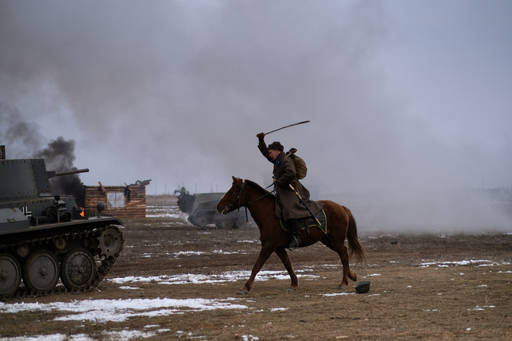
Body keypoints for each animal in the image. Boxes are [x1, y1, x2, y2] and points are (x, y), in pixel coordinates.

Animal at [216, 177, 364, 290]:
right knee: (343, 253)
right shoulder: (278, 248)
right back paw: (351, 276)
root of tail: (342, 208)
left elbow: (257, 265)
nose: (218, 206)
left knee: (343, 254)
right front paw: (294, 283)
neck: (268, 214)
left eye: (233, 190)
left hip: (335, 240)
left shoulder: (268, 246)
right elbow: (287, 264)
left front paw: (246, 286)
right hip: (328, 240)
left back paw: (344, 282)